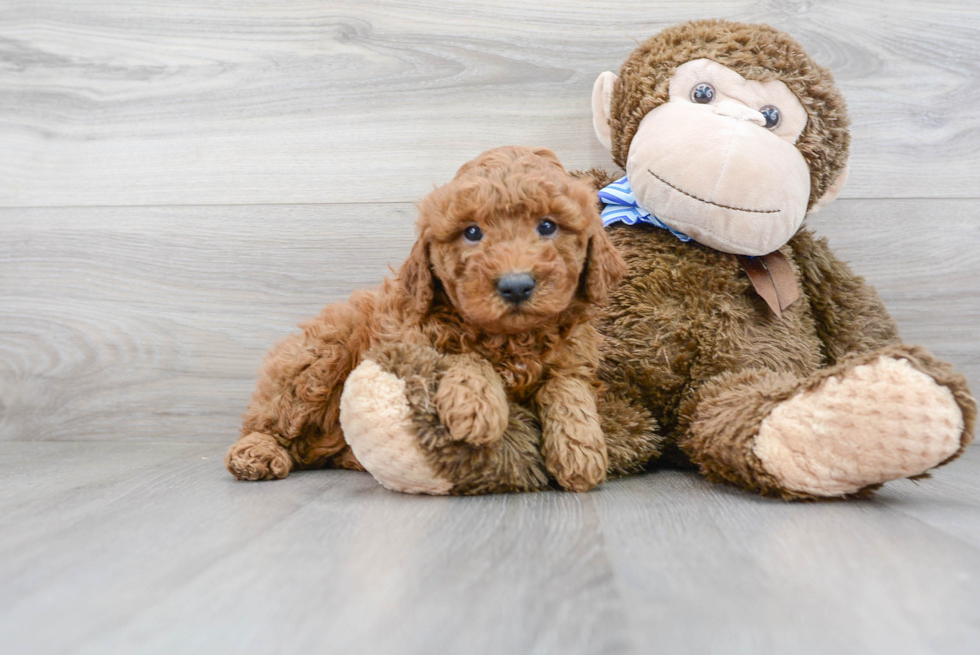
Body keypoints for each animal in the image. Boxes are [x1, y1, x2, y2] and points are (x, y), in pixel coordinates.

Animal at [228, 145, 628, 492]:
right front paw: (475, 406)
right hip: (320, 357)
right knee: (271, 418)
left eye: (547, 226)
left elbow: (567, 386)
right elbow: (463, 356)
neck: (511, 338)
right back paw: (257, 452)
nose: (515, 286)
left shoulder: (572, 357)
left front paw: (581, 450)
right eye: (472, 232)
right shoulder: (410, 343)